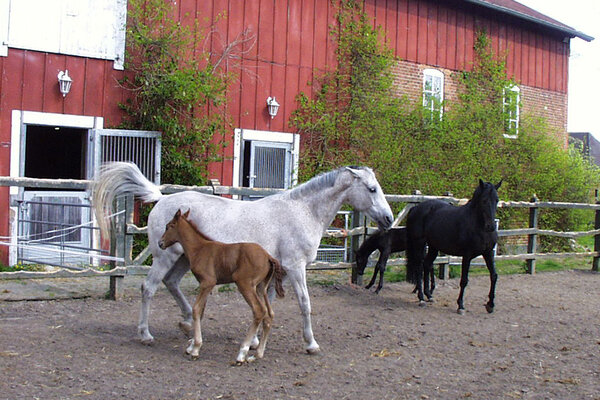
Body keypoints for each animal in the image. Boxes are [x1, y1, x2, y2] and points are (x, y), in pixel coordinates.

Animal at [157, 209, 284, 362]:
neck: (199, 248)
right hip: (260, 287)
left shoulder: (208, 282)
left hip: (245, 284)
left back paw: (242, 354)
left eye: (168, 226)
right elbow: (201, 312)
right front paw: (191, 347)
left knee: (259, 311)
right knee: (269, 314)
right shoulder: (204, 285)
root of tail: (268, 256)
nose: (160, 243)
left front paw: (195, 349)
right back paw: (256, 355)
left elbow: (196, 309)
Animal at [408, 180, 502, 314]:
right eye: (484, 200)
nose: (491, 227)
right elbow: (464, 280)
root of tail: (416, 208)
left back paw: (429, 296)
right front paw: (460, 305)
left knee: (426, 264)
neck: (478, 226)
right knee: (419, 268)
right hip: (419, 244)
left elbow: (493, 276)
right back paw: (421, 298)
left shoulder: (488, 253)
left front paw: (490, 304)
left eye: (497, 200)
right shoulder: (467, 255)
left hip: (433, 246)